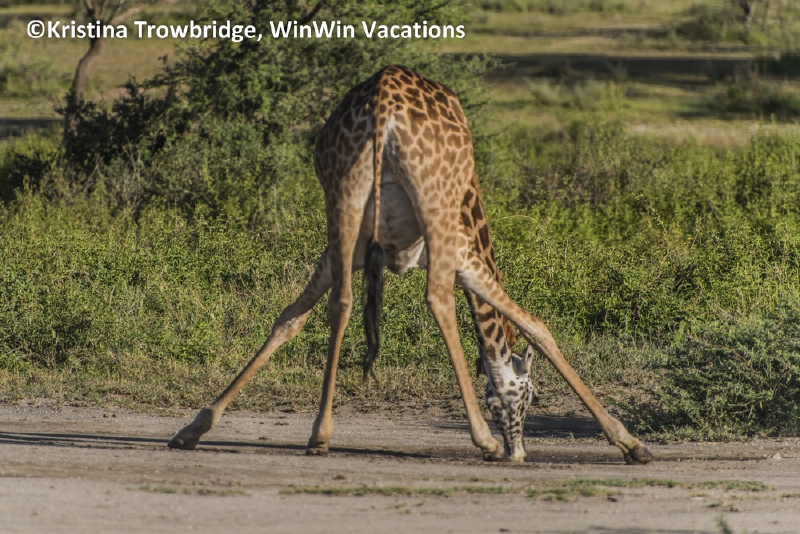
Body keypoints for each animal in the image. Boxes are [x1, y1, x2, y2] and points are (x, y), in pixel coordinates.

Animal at [168, 65, 655, 464]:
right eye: (530, 396)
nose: (518, 452)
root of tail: (382, 105)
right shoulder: (464, 255)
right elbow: (538, 325)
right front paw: (631, 443)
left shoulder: (350, 253)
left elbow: (289, 319)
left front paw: (194, 427)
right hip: (433, 207)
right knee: (437, 300)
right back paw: (483, 440)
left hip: (341, 200)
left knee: (342, 302)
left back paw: (320, 434)